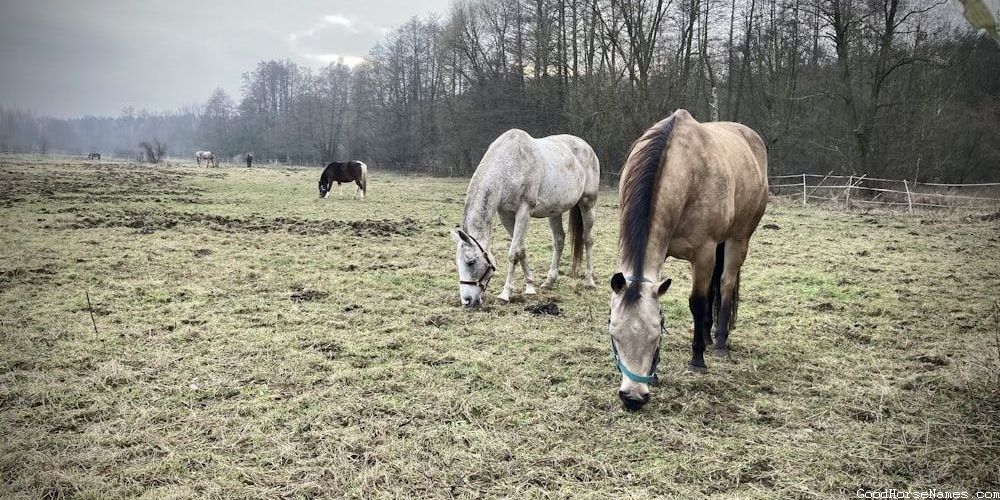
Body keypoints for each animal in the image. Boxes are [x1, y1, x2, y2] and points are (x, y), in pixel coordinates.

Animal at [451, 129, 599, 307]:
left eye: (470, 262)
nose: (467, 301)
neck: (509, 165)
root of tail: (587, 147)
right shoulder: (505, 214)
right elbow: (521, 249)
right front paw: (529, 287)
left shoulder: (524, 211)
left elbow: (513, 252)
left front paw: (505, 294)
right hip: (554, 211)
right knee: (559, 240)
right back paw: (549, 281)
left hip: (587, 204)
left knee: (587, 239)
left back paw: (589, 281)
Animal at [608, 109, 768, 411]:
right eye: (615, 334)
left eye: (656, 336)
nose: (633, 398)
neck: (684, 171)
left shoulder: (704, 252)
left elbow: (697, 302)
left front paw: (697, 360)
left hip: (738, 239)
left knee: (725, 285)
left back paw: (718, 343)